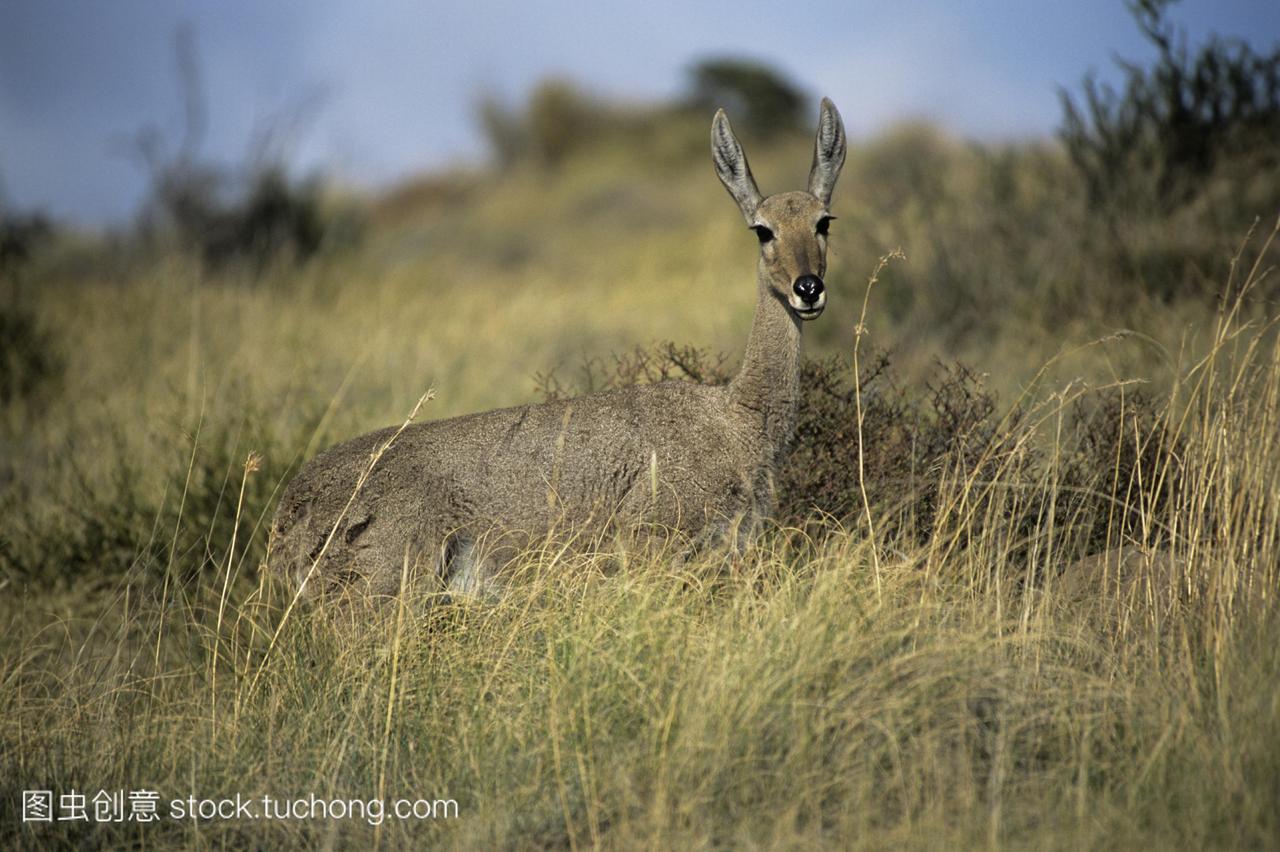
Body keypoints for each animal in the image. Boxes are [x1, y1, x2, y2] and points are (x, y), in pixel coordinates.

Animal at [271, 97, 849, 596]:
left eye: (823, 220)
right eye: (762, 231)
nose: (808, 288)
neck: (737, 420)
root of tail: (289, 512)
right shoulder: (652, 545)